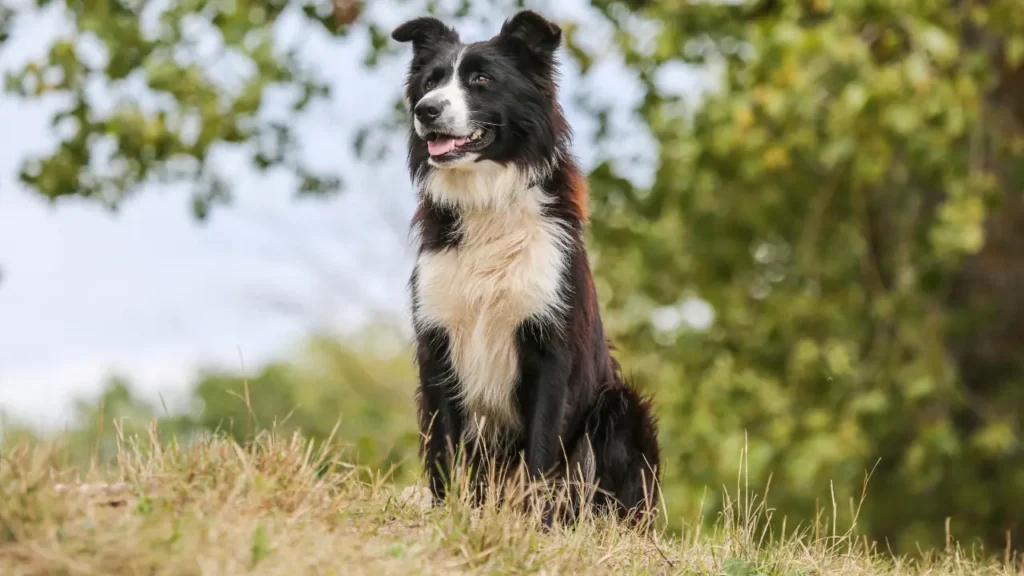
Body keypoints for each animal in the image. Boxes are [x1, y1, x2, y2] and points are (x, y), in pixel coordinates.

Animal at [391, 8, 663, 522]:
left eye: (481, 79)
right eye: (431, 81)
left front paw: (529, 524)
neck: (487, 200)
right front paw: (447, 512)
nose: (426, 111)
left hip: (620, 407)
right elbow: (443, 448)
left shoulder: (549, 347)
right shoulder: (438, 342)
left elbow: (540, 448)